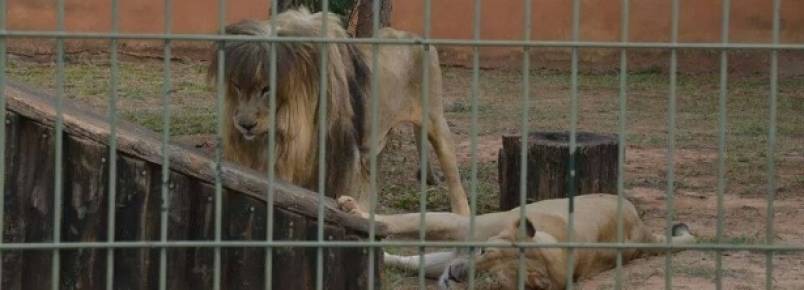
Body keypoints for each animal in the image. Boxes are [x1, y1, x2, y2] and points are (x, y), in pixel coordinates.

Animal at [207, 7, 472, 215]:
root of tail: (415, 36)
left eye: (267, 89)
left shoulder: (340, 159)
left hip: (435, 119)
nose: (244, 124)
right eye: (237, 86)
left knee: (454, 178)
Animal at [336, 194, 696, 288]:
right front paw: (353, 208)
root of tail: (643, 229)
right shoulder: (464, 227)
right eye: (483, 251)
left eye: (492, 283)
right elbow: (403, 221)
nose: (456, 276)